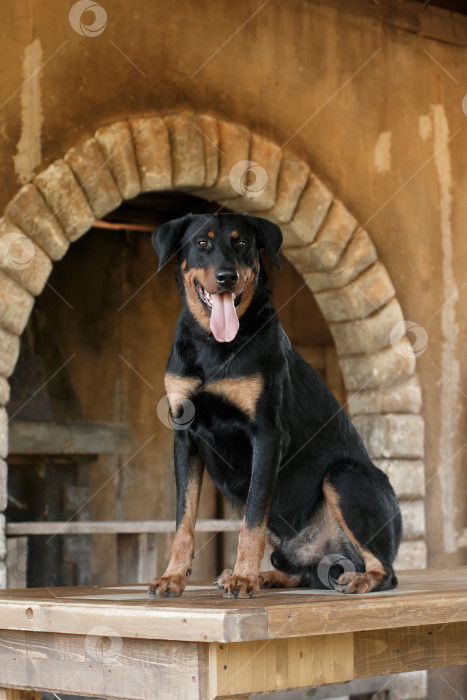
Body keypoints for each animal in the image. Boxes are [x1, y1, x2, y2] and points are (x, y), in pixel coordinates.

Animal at [149, 211, 402, 600]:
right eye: (202, 243)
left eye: (242, 243)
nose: (226, 277)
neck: (213, 345)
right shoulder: (184, 436)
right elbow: (183, 520)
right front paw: (173, 576)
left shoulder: (266, 436)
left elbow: (251, 521)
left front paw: (244, 579)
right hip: (292, 547)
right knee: (303, 573)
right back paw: (268, 576)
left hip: (344, 477)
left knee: (385, 570)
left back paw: (358, 579)